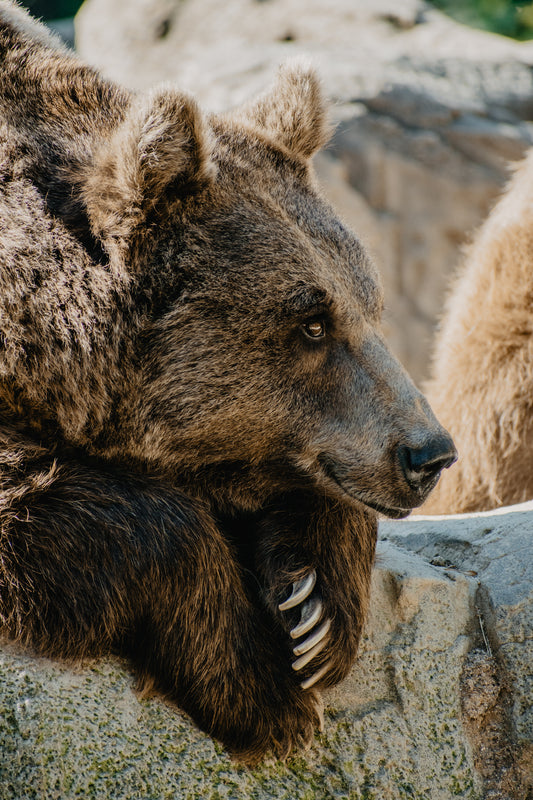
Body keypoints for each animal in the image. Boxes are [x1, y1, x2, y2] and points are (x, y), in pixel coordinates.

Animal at [0, 0, 456, 764]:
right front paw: (264, 685)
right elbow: (52, 502)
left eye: (371, 304)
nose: (428, 453)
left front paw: (314, 610)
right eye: (310, 323)